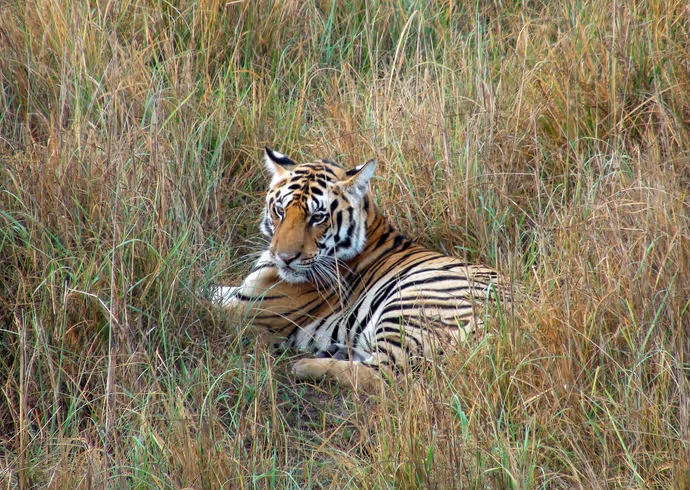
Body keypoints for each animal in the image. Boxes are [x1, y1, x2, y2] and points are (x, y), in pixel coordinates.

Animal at [215, 147, 511, 391]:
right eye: (280, 211)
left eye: (317, 217)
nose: (285, 258)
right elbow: (214, 290)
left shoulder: (251, 312)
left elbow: (207, 307)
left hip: (409, 305)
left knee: (386, 376)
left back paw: (305, 366)